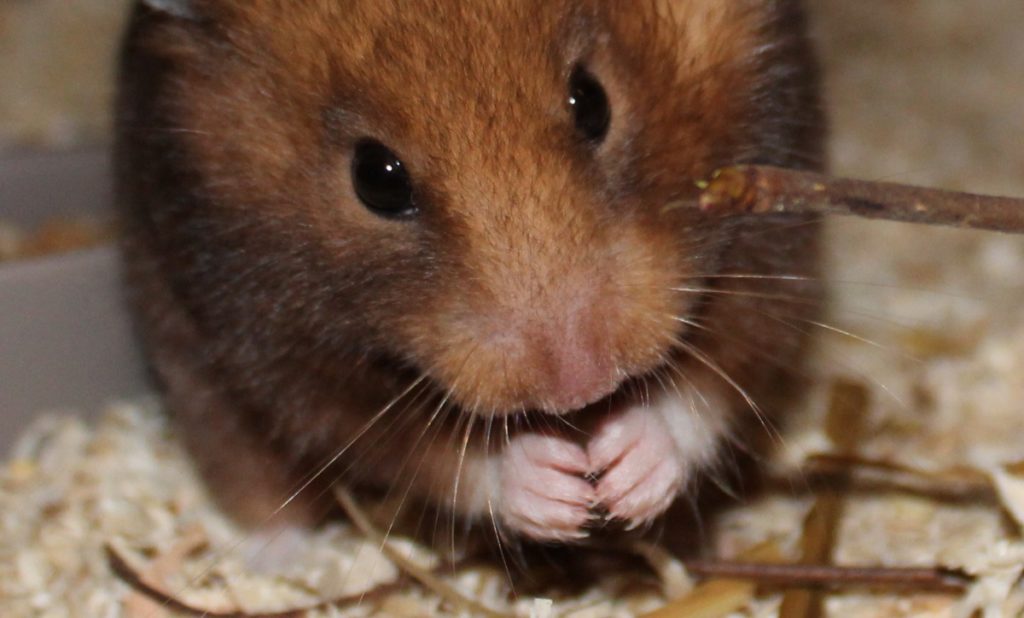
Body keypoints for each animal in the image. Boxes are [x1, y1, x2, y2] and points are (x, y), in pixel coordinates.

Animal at [115, 0, 825, 543]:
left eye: (591, 101)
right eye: (375, 178)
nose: (581, 386)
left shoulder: (773, 211)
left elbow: (717, 377)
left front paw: (625, 467)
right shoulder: (267, 336)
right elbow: (411, 447)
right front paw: (559, 493)